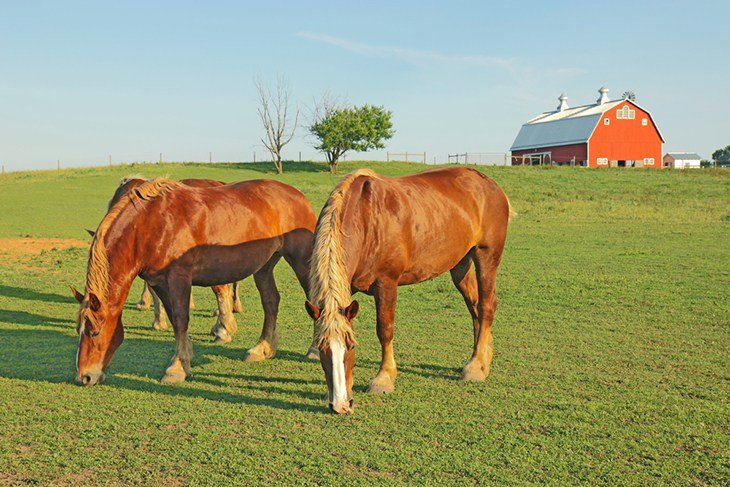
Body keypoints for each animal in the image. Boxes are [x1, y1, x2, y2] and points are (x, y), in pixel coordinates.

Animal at [302, 166, 512, 414]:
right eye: (322, 348)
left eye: (351, 347)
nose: (341, 405)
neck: (366, 219)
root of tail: (491, 185)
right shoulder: (347, 288)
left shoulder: (387, 283)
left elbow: (385, 329)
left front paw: (384, 378)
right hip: (460, 265)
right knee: (475, 306)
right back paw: (482, 360)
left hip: (486, 255)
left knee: (487, 305)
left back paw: (475, 367)